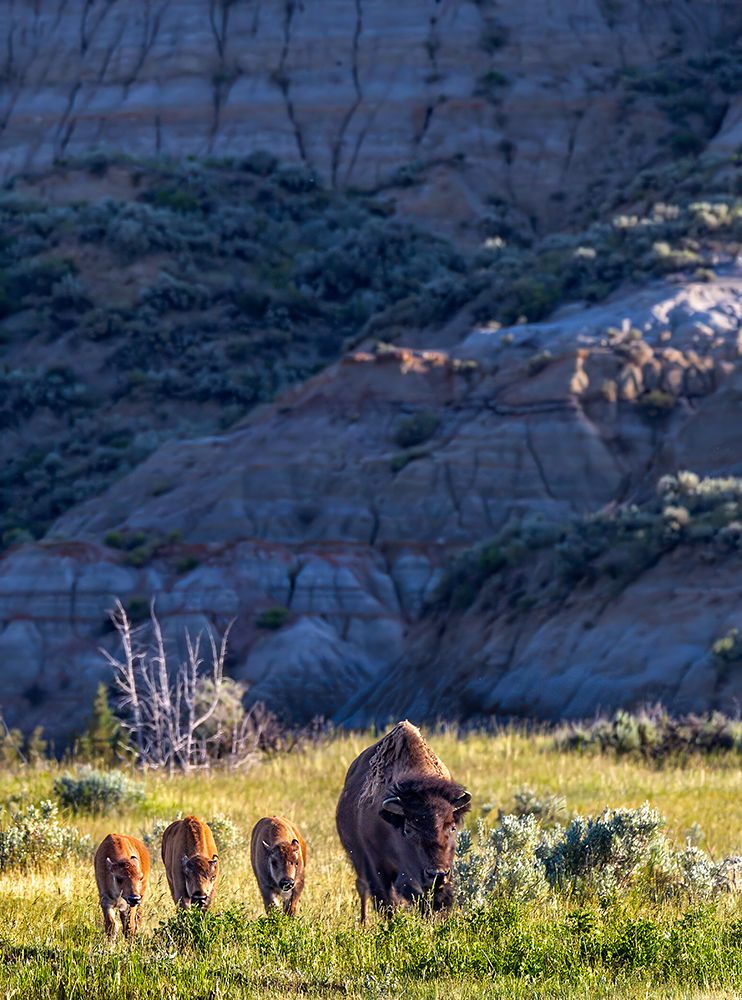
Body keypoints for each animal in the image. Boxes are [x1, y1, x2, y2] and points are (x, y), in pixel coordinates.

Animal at [336, 720, 471, 922]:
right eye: (408, 829)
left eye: (452, 827)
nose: (437, 874)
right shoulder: (377, 866)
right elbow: (386, 900)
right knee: (364, 890)